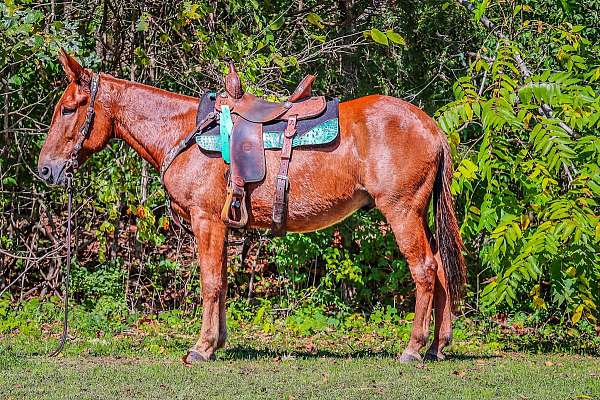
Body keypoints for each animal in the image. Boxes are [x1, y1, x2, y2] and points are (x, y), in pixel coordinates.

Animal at [39, 51, 466, 364]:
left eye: (68, 109)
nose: (45, 169)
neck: (184, 133)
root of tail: (431, 126)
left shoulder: (206, 221)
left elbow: (210, 282)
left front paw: (202, 347)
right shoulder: (222, 224)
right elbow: (222, 281)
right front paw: (217, 341)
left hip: (401, 211)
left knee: (425, 270)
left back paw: (413, 348)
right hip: (418, 214)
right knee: (441, 268)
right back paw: (437, 346)